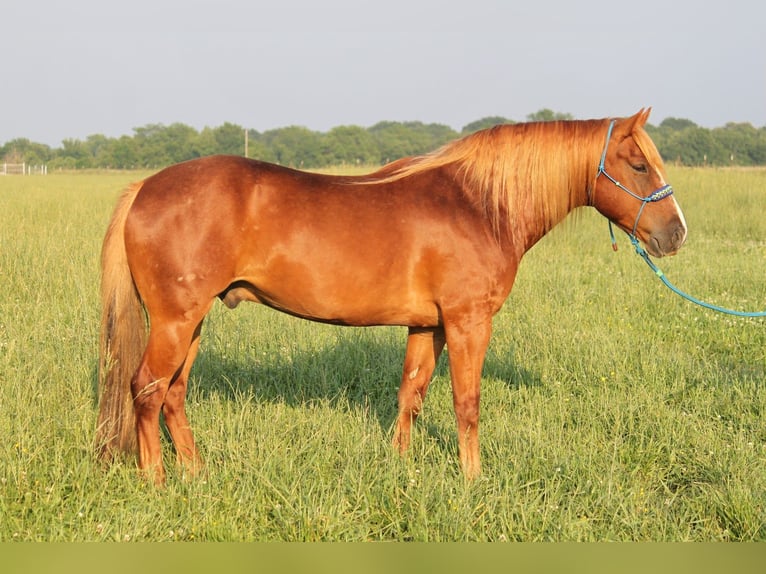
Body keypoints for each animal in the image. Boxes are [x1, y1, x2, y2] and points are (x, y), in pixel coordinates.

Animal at [96, 106, 688, 484]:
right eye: (639, 164)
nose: (676, 233)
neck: (477, 204)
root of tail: (146, 187)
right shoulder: (468, 321)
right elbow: (466, 403)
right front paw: (474, 481)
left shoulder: (428, 324)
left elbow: (412, 394)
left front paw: (400, 468)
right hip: (175, 321)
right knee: (145, 389)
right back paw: (158, 482)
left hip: (191, 322)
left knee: (173, 393)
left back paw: (197, 474)